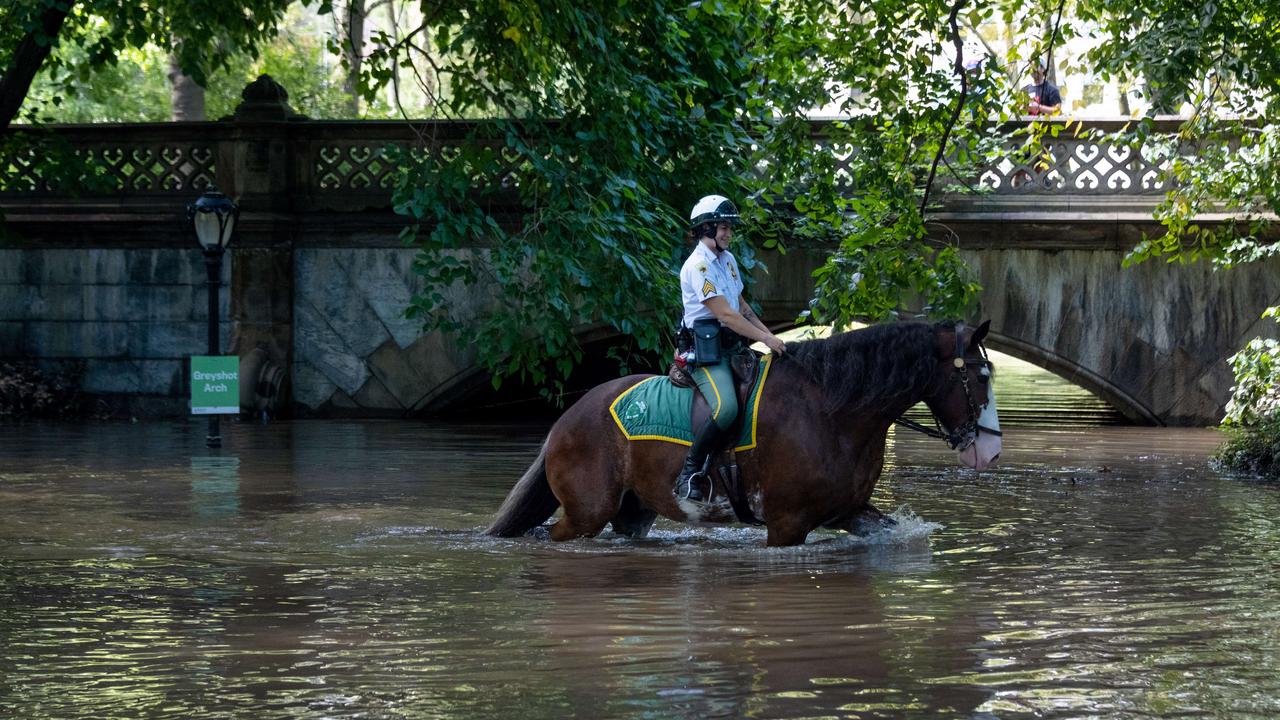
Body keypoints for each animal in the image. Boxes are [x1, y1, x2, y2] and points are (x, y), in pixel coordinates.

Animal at [483, 319, 993, 543]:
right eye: (982, 375)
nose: (989, 453)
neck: (832, 412)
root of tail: (566, 418)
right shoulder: (787, 525)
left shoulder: (851, 512)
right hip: (587, 511)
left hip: (634, 509)